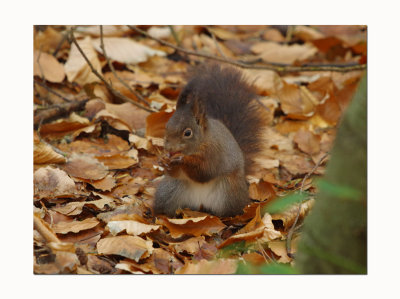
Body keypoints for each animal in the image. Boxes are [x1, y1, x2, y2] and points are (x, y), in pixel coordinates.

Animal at [155, 63, 264, 218]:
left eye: (187, 133)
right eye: (167, 126)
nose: (169, 149)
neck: (201, 142)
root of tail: (200, 205)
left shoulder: (215, 153)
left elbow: (205, 171)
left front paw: (182, 159)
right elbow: (175, 173)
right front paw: (163, 160)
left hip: (228, 192)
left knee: (229, 211)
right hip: (169, 191)